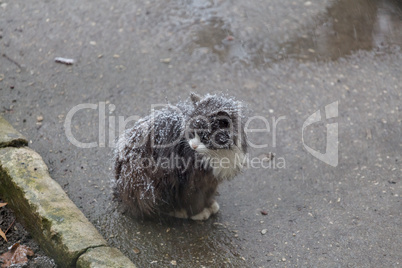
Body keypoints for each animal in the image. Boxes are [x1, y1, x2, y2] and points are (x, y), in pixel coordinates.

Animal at [113, 92, 248, 220]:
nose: (193, 146)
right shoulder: (191, 180)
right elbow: (194, 198)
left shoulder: (211, 180)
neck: (218, 153)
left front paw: (210, 205)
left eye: (205, 137)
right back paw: (178, 212)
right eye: (192, 133)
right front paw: (199, 213)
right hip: (151, 181)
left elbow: (209, 193)